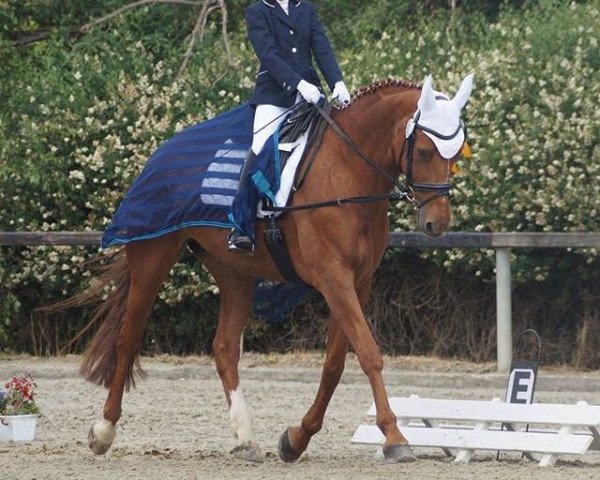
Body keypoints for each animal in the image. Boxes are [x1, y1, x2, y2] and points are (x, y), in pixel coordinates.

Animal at [78, 74, 474, 462]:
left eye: (456, 155)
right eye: (423, 151)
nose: (437, 224)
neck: (348, 169)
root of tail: (159, 152)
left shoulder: (357, 281)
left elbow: (335, 363)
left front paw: (296, 439)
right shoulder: (333, 277)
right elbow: (368, 353)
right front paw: (394, 437)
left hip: (236, 272)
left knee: (225, 347)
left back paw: (244, 440)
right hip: (153, 256)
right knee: (128, 337)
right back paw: (103, 431)